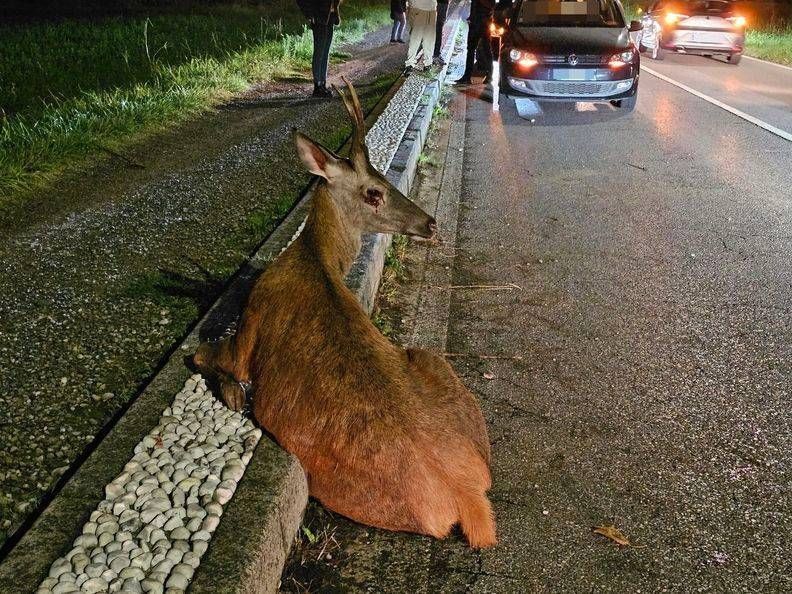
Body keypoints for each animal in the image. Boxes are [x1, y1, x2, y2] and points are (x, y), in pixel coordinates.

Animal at [193, 79, 496, 548]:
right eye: (374, 191)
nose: (429, 224)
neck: (315, 257)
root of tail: (467, 496)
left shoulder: (247, 329)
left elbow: (201, 355)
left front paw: (233, 393)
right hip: (434, 363)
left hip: (337, 486)